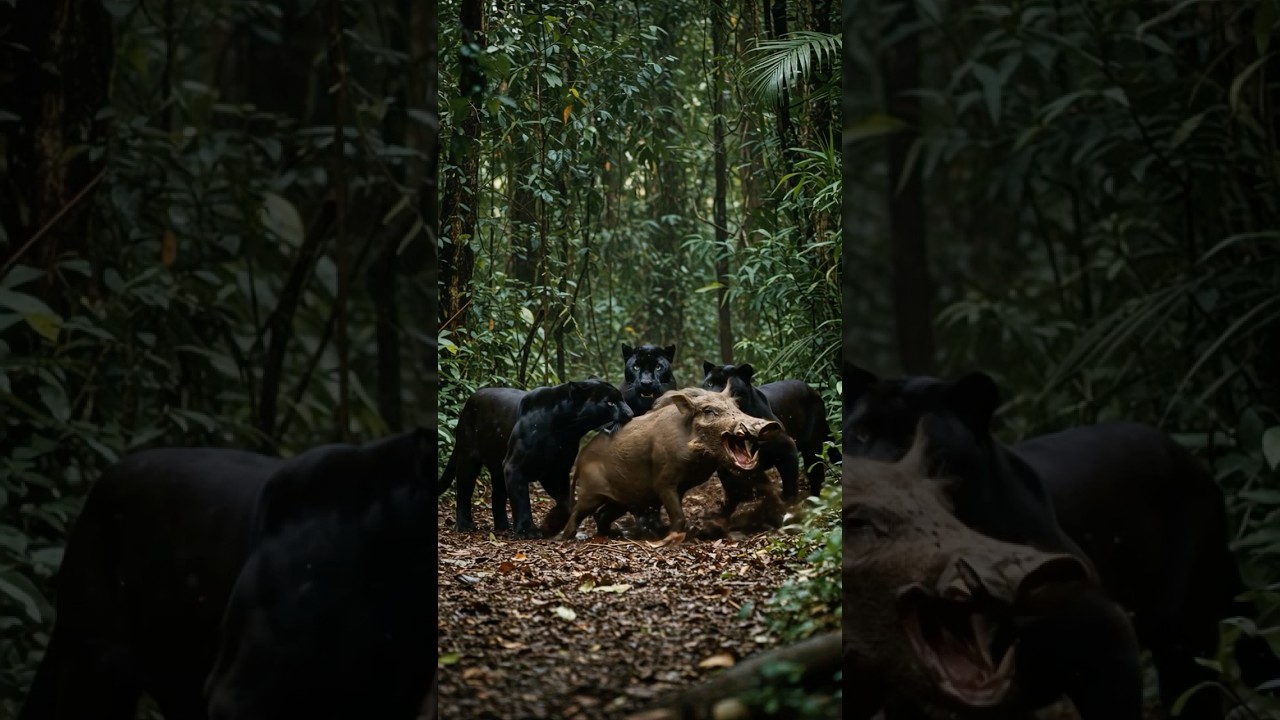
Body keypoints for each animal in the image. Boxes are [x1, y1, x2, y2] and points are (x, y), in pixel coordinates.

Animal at [558, 386, 782, 543]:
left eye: (736, 407)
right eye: (709, 411)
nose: (768, 425)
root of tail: (580, 460)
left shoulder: (680, 487)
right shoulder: (664, 482)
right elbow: (678, 515)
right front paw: (670, 539)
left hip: (620, 500)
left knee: (601, 515)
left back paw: (614, 535)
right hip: (590, 493)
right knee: (577, 513)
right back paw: (565, 538)